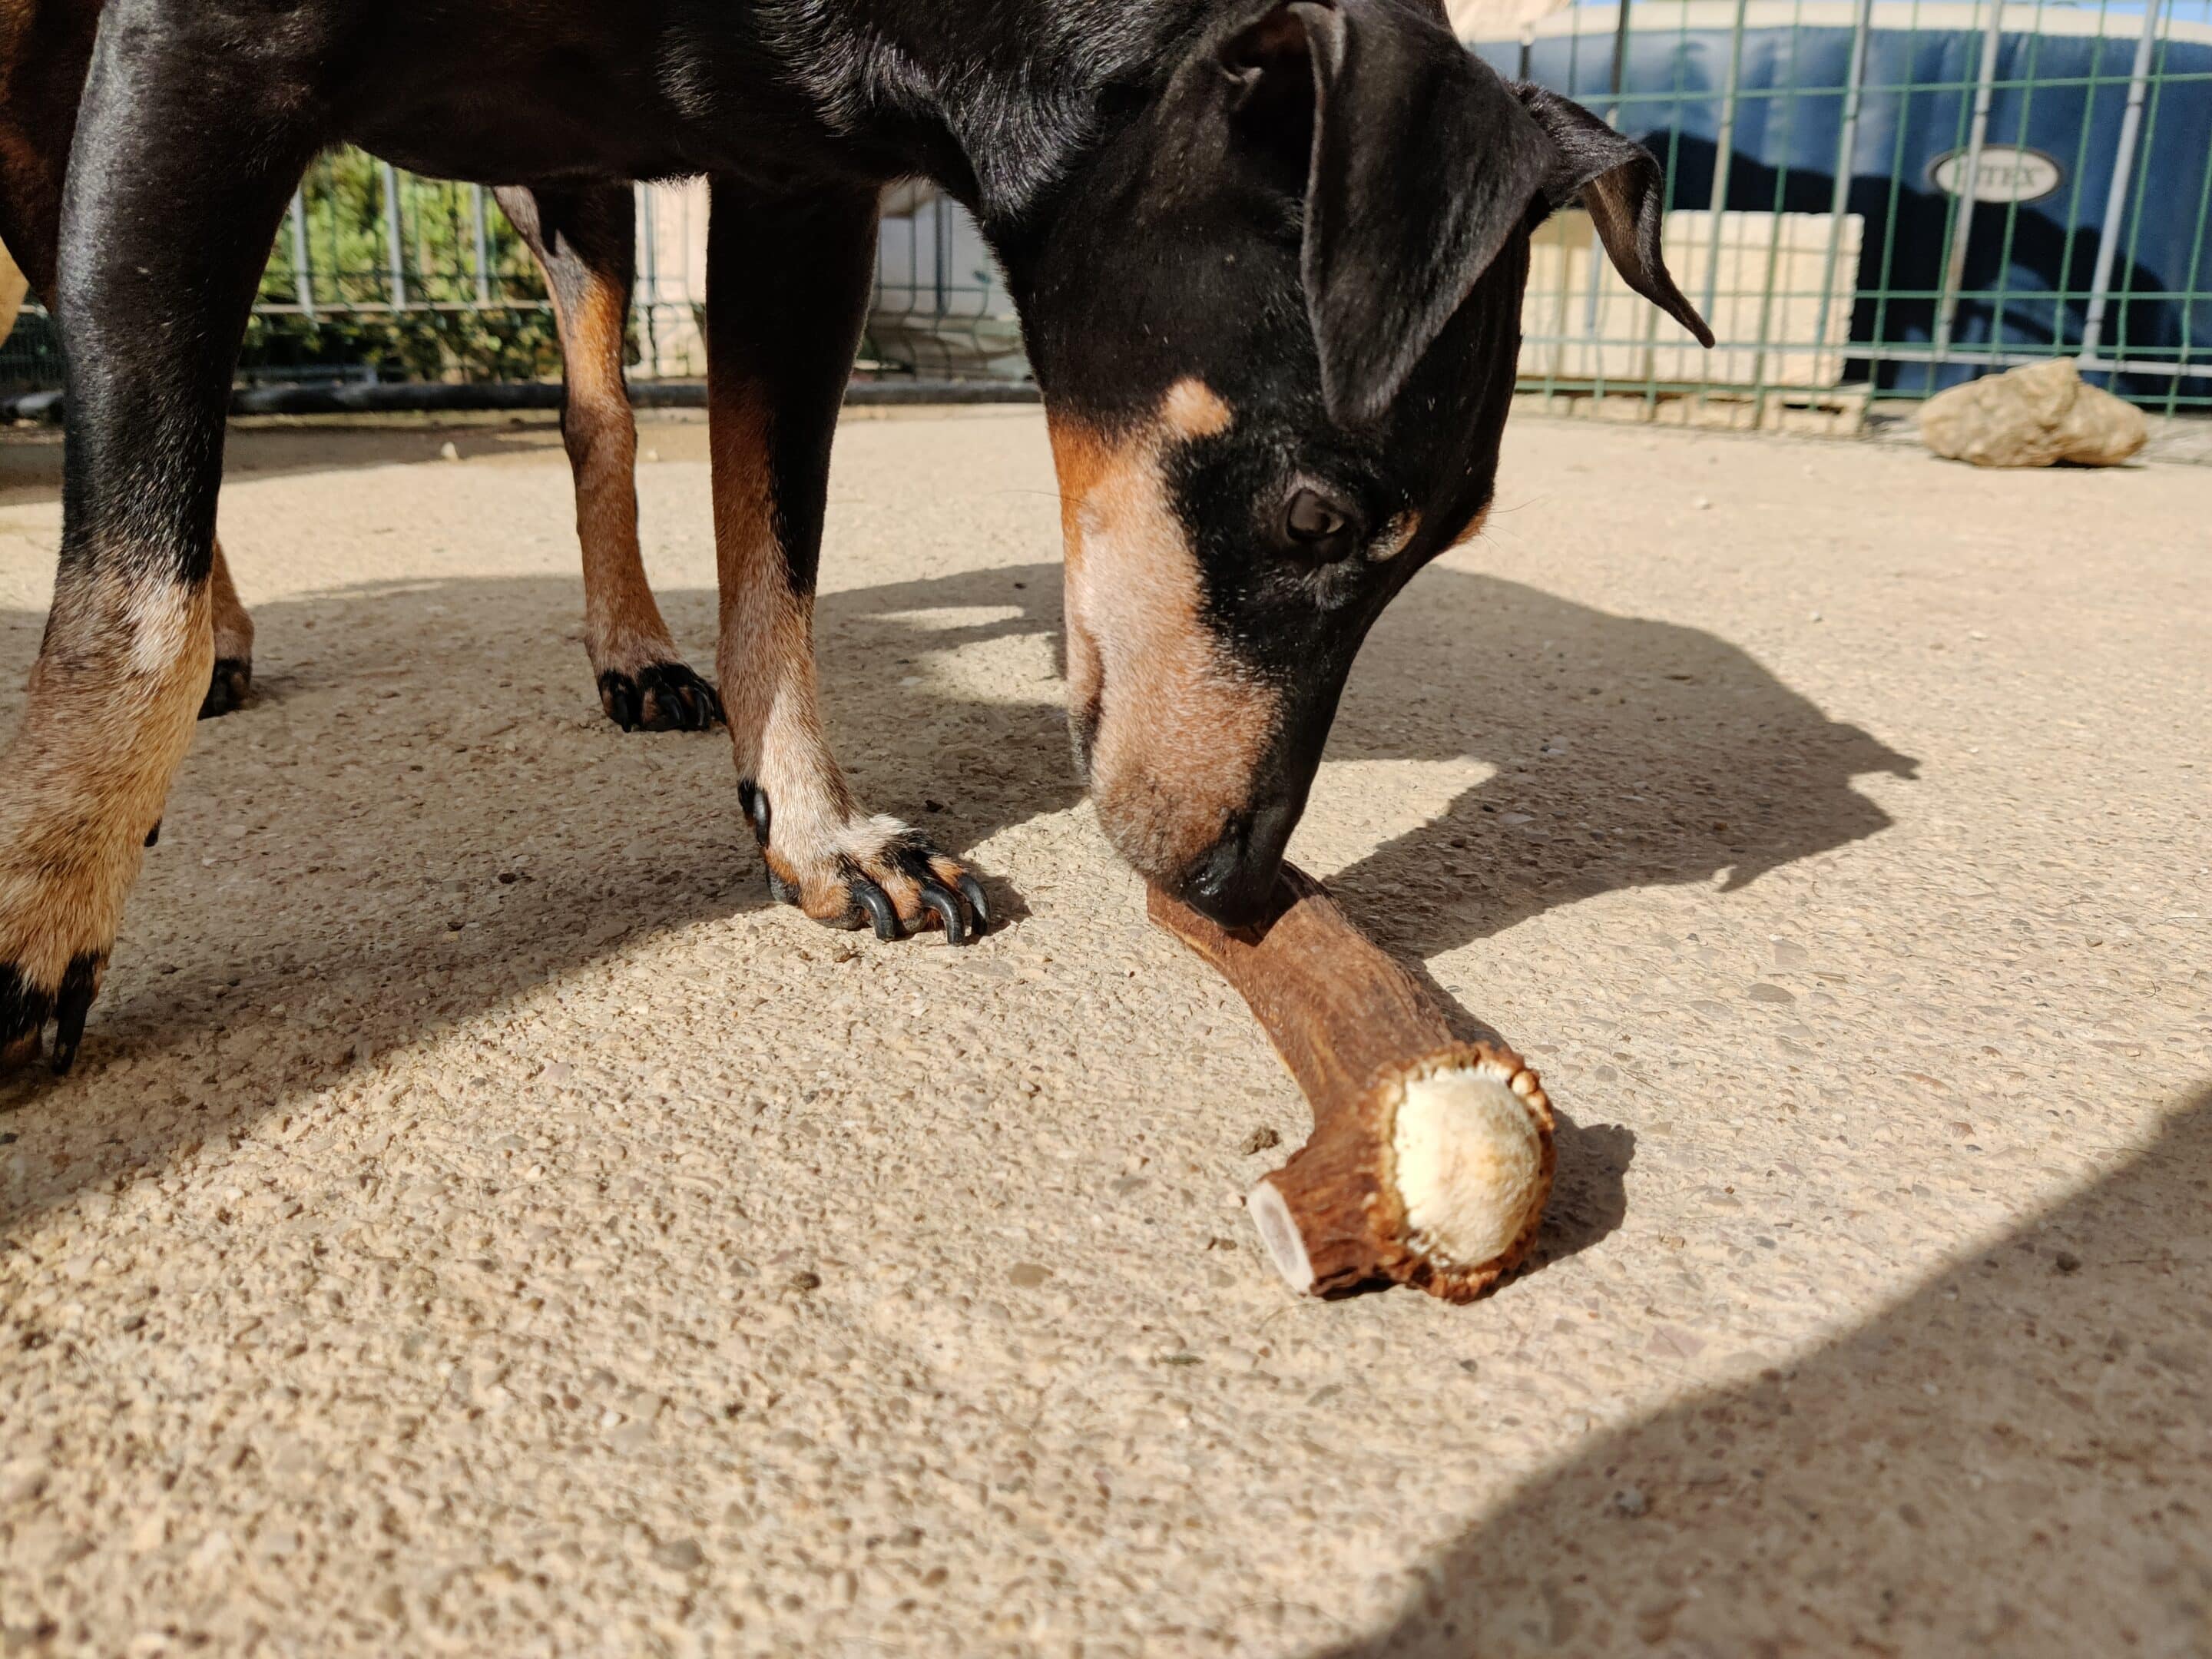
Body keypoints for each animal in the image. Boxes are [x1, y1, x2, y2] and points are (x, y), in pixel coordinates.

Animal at [0, 0, 1707, 1066]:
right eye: (1318, 513)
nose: (1232, 886)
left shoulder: (793, 182)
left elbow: (777, 547)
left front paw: (817, 834)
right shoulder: (195, 56)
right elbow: (130, 587)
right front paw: (38, 924)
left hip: (575, 175)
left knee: (596, 411)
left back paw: (631, 649)